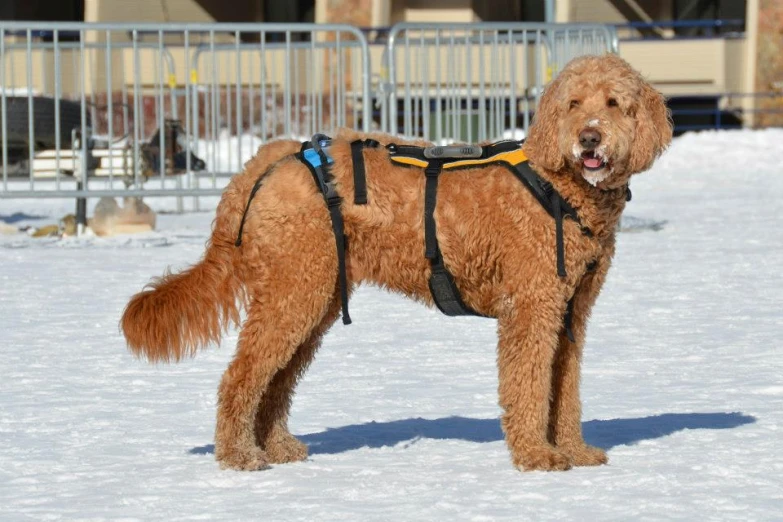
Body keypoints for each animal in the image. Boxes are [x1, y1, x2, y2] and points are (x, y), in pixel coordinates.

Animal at [122, 53, 672, 472]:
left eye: (614, 103)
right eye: (573, 104)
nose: (589, 138)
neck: (559, 187)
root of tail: (268, 160)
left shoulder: (571, 310)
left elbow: (566, 389)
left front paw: (574, 450)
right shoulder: (532, 308)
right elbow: (530, 386)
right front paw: (537, 456)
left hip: (313, 296)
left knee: (275, 381)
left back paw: (275, 447)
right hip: (294, 291)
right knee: (241, 378)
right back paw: (238, 455)